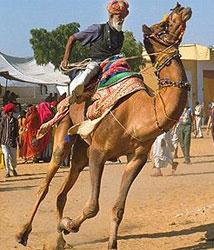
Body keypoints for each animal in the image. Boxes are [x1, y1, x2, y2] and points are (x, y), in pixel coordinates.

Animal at [16, 2, 192, 249]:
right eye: (163, 25)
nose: (181, 7)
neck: (140, 113)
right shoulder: (99, 151)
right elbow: (92, 206)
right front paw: (69, 224)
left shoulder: (136, 157)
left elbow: (118, 208)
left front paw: (105, 241)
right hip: (64, 131)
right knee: (45, 185)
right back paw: (23, 233)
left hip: (82, 147)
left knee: (62, 192)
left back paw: (59, 240)